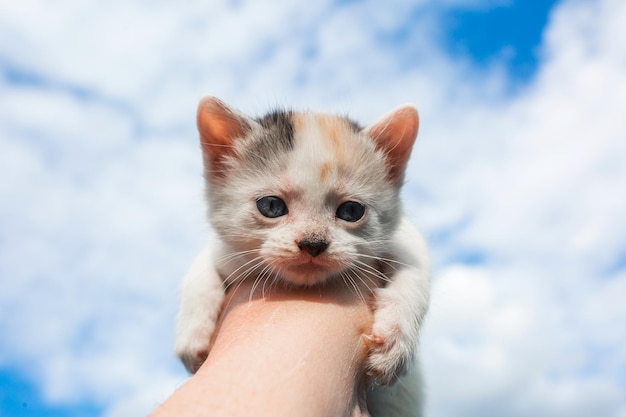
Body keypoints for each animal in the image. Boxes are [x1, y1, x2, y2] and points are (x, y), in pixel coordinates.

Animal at [174, 96, 428, 412]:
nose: (313, 243)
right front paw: (192, 335)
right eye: (271, 206)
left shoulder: (406, 237)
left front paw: (395, 341)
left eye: (351, 211)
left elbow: (416, 273)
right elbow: (200, 268)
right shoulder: (224, 250)